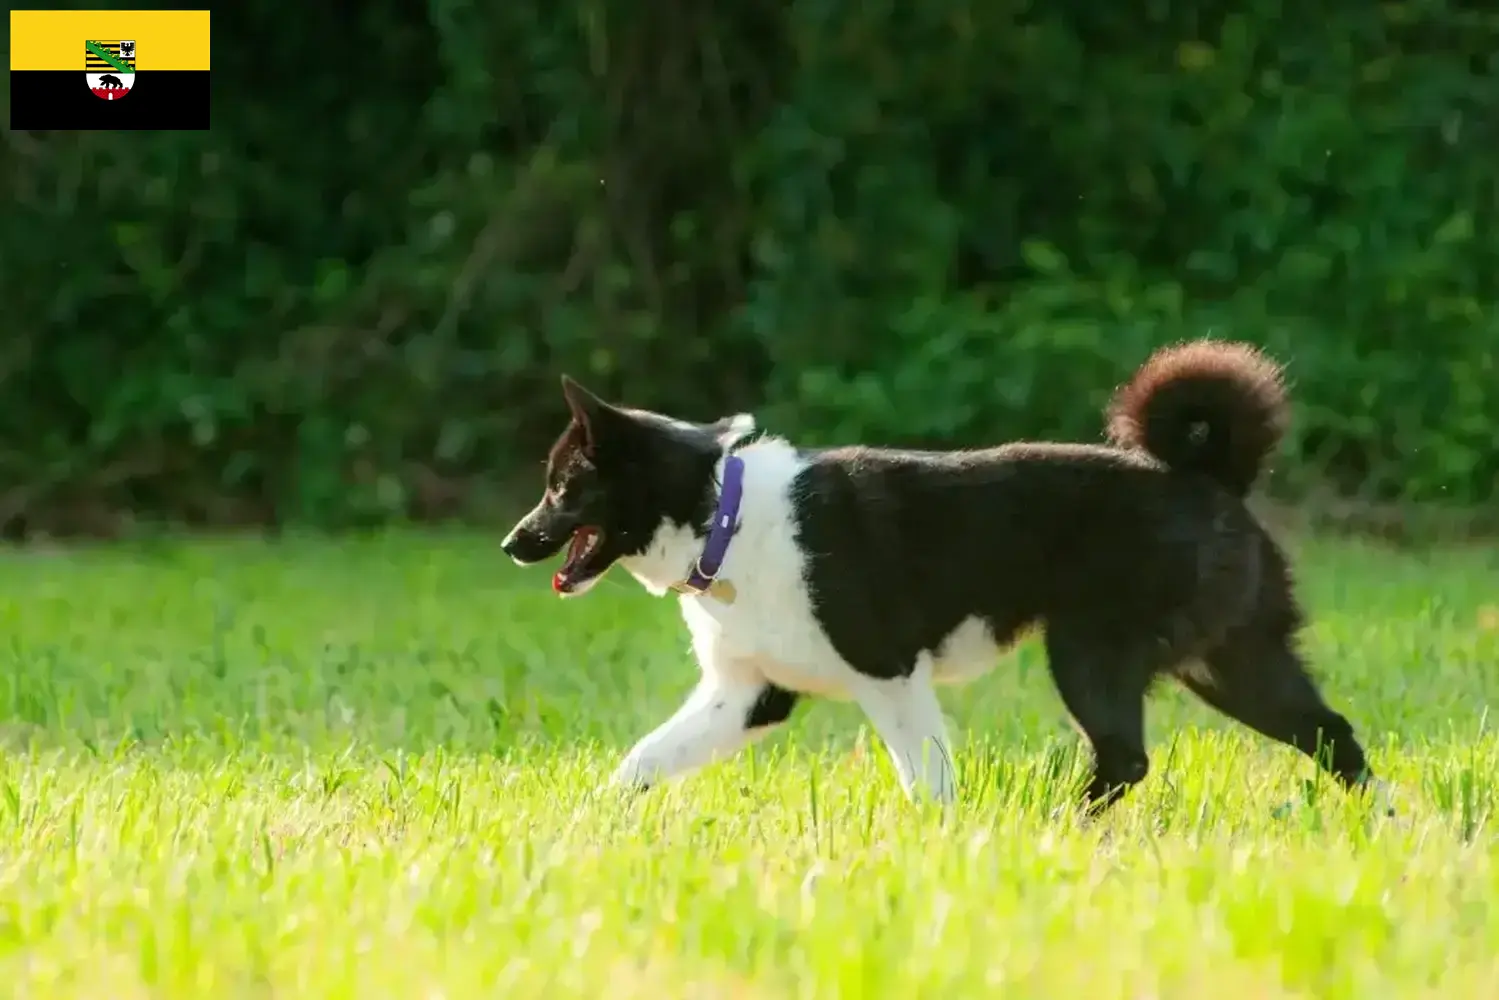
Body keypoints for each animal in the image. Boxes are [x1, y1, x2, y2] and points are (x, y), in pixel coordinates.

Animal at [500, 340, 1379, 815]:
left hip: (1088, 650)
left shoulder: (887, 674)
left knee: (1126, 758)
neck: (725, 511)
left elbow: (925, 778)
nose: (512, 543)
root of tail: (1209, 476)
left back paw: (1059, 825)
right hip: (1228, 659)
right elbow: (643, 760)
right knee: (1331, 735)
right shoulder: (747, 694)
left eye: (563, 486)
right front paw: (590, 825)